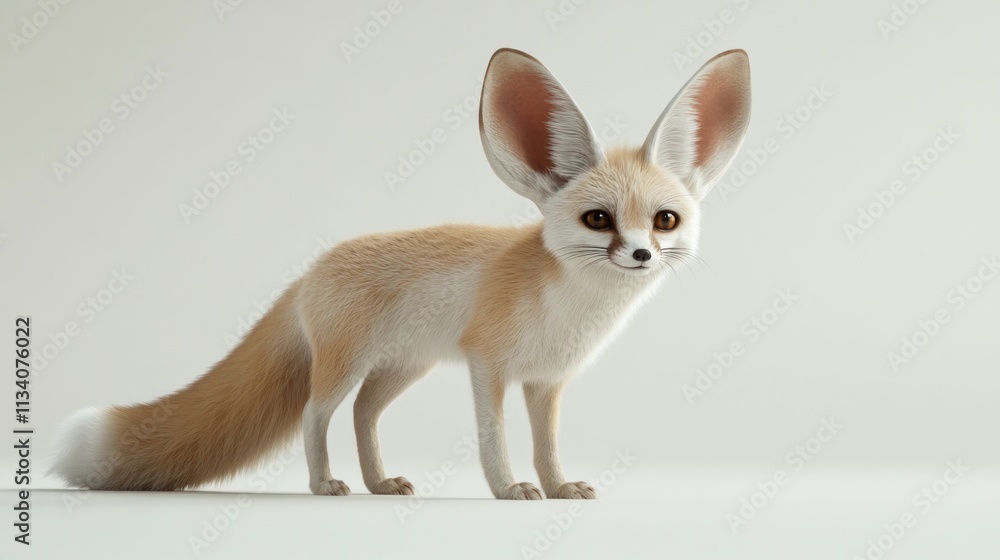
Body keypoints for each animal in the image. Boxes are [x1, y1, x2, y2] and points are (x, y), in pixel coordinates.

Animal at [52, 48, 751, 500]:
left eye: (663, 220)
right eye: (599, 219)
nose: (640, 255)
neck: (571, 310)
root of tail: (309, 271)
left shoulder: (546, 381)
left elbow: (546, 446)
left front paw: (557, 487)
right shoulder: (488, 366)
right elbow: (494, 440)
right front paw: (508, 489)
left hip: (401, 368)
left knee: (364, 415)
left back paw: (379, 482)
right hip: (346, 366)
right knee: (316, 416)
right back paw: (325, 484)